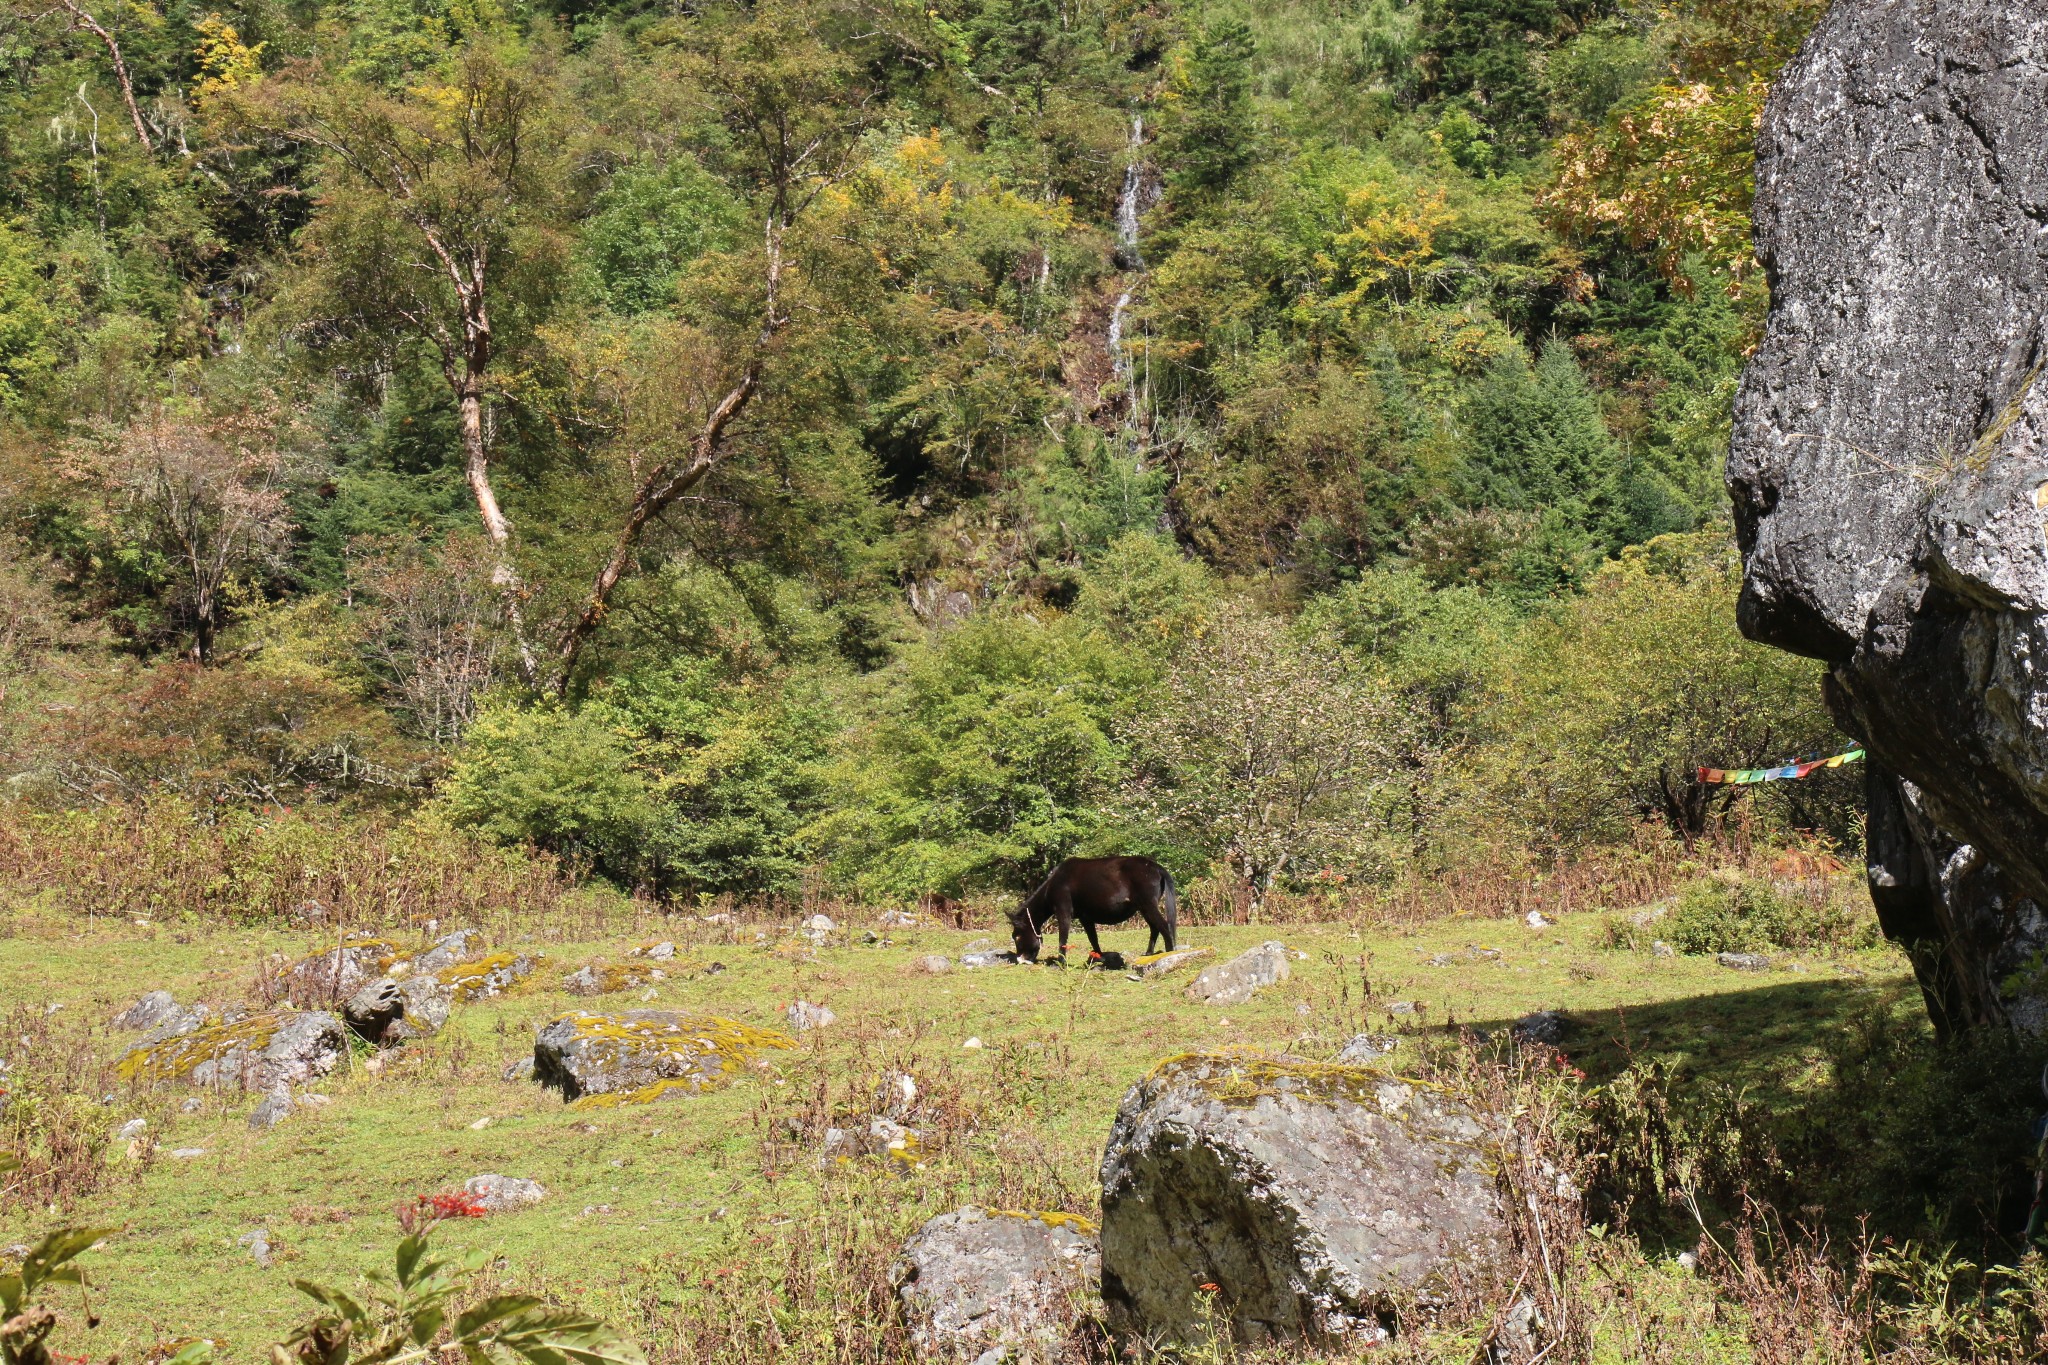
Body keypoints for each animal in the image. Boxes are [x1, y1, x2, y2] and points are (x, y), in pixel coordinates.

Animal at [1003, 859, 1179, 965]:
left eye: (1016, 937)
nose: (1020, 959)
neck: (1050, 888)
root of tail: (1156, 866)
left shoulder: (1063, 911)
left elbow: (1063, 938)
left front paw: (1061, 962)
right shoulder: (1085, 917)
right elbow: (1093, 938)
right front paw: (1099, 958)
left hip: (1147, 904)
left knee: (1164, 926)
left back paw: (1169, 954)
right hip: (1143, 907)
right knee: (1155, 927)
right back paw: (1148, 953)